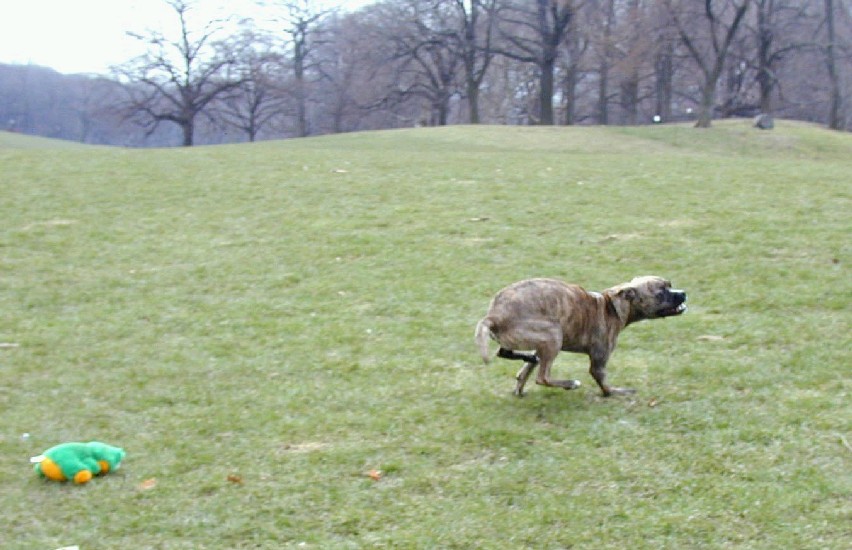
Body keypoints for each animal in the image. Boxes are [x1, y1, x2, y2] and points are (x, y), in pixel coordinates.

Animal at [475, 276, 686, 397]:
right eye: (661, 292)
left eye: (670, 285)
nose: (683, 292)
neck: (612, 307)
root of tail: (494, 315)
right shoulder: (598, 364)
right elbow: (605, 386)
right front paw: (618, 392)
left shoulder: (538, 347)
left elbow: (524, 372)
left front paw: (519, 386)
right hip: (553, 335)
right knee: (543, 377)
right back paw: (570, 384)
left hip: (538, 340)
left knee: (506, 353)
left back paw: (529, 360)